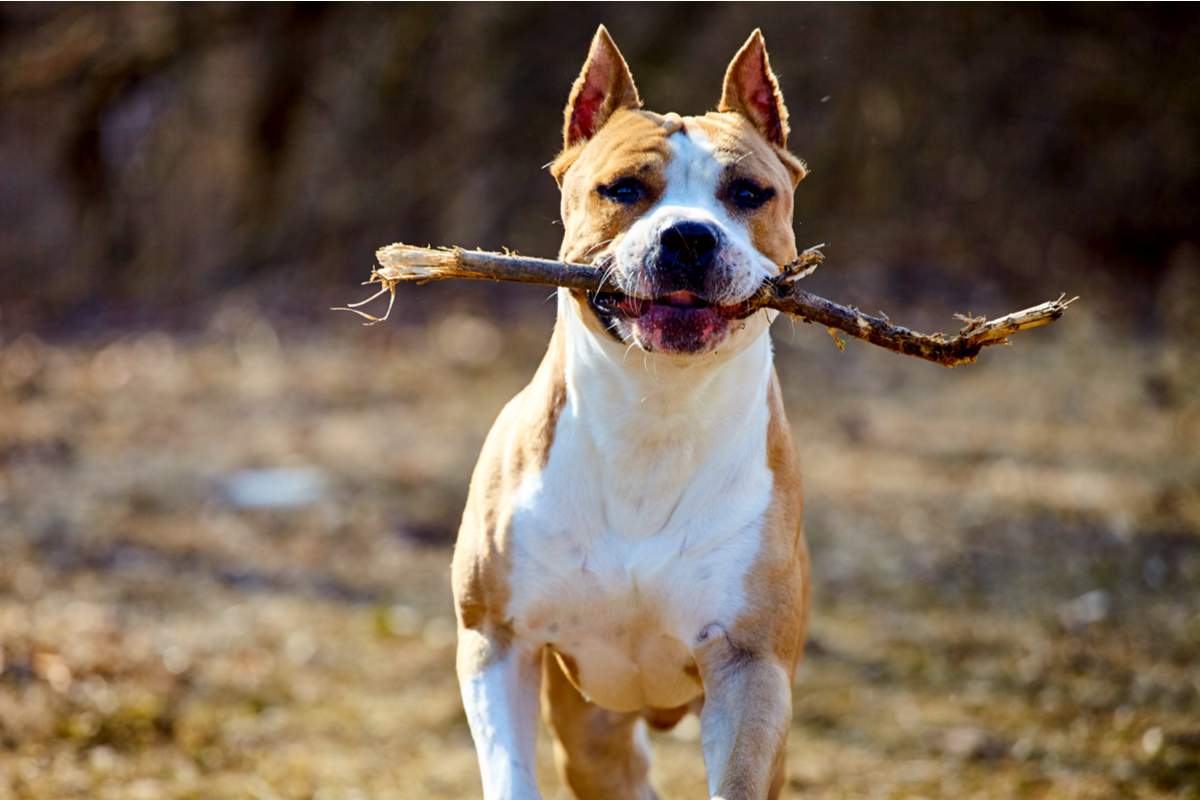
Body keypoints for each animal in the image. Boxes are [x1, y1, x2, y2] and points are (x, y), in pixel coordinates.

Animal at [453, 26, 811, 800]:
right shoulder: (496, 641)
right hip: (593, 736)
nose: (689, 236)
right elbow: (509, 767)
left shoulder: (750, 667)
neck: (657, 415)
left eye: (749, 194)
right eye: (623, 190)